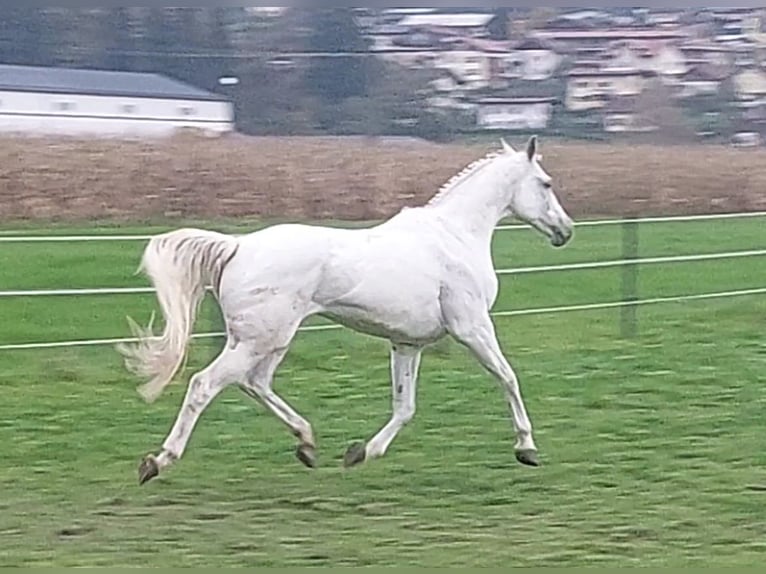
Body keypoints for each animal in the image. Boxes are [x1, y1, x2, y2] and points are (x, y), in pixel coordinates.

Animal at [120, 137, 572, 488]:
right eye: (546, 183)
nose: (565, 231)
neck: (455, 236)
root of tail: (238, 246)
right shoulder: (472, 327)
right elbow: (508, 377)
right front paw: (527, 448)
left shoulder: (407, 343)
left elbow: (405, 406)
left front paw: (360, 452)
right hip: (259, 339)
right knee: (205, 385)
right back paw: (157, 461)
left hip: (268, 340)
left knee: (255, 383)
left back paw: (306, 443)